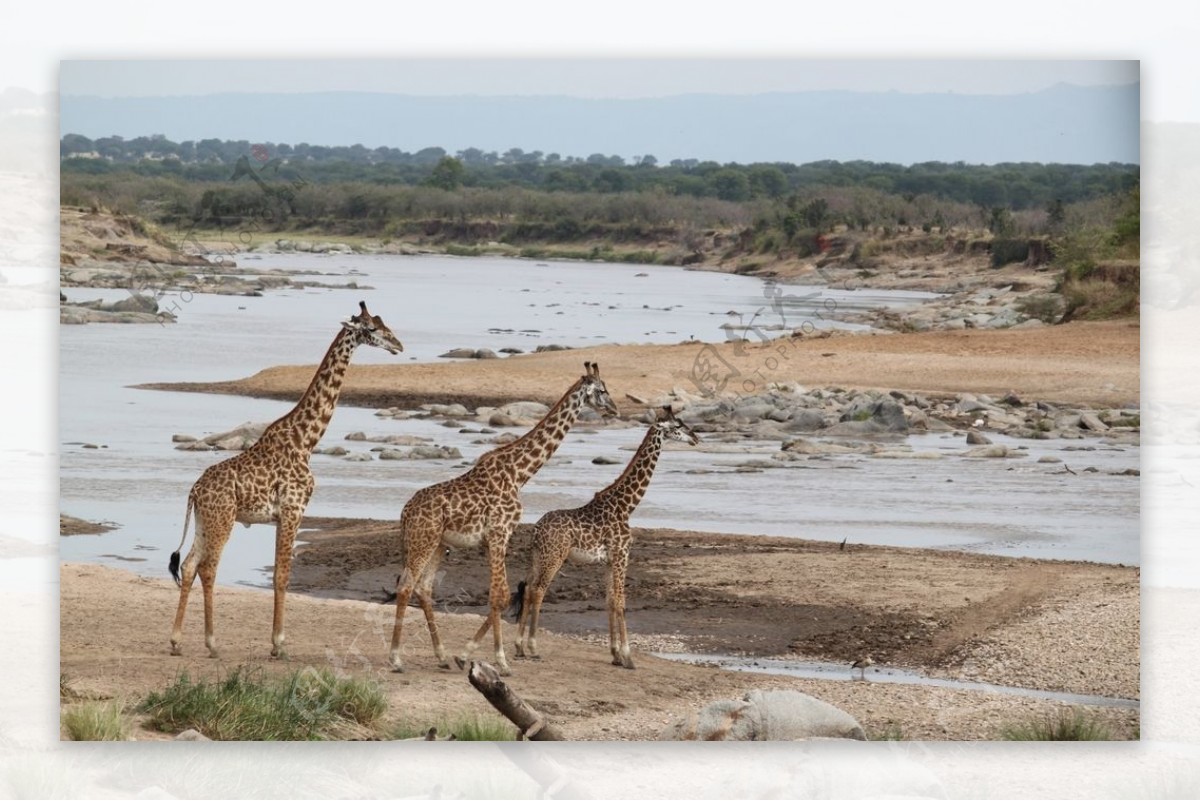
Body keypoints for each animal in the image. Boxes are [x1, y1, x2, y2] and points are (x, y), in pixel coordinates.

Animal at [169, 299, 403, 657]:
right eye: (372, 328)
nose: (398, 345)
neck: (306, 440)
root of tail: (194, 491)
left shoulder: (282, 516)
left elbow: (279, 573)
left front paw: (276, 641)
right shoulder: (294, 510)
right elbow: (282, 576)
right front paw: (279, 644)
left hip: (204, 521)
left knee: (189, 565)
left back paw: (176, 640)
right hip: (223, 519)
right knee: (208, 568)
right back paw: (212, 643)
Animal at [388, 362, 619, 676]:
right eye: (603, 390)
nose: (615, 409)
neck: (519, 473)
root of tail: (404, 512)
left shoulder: (492, 538)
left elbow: (500, 595)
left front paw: (468, 655)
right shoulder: (500, 533)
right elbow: (500, 594)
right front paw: (501, 661)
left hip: (437, 543)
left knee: (423, 589)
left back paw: (442, 656)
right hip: (422, 540)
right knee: (405, 587)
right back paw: (396, 659)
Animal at [511, 407, 700, 671]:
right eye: (677, 426)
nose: (696, 438)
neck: (626, 506)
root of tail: (536, 530)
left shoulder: (609, 560)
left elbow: (610, 600)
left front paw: (615, 655)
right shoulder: (622, 554)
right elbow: (621, 601)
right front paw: (628, 657)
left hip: (538, 557)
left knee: (528, 590)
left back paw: (519, 646)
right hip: (554, 557)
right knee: (538, 591)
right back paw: (532, 647)